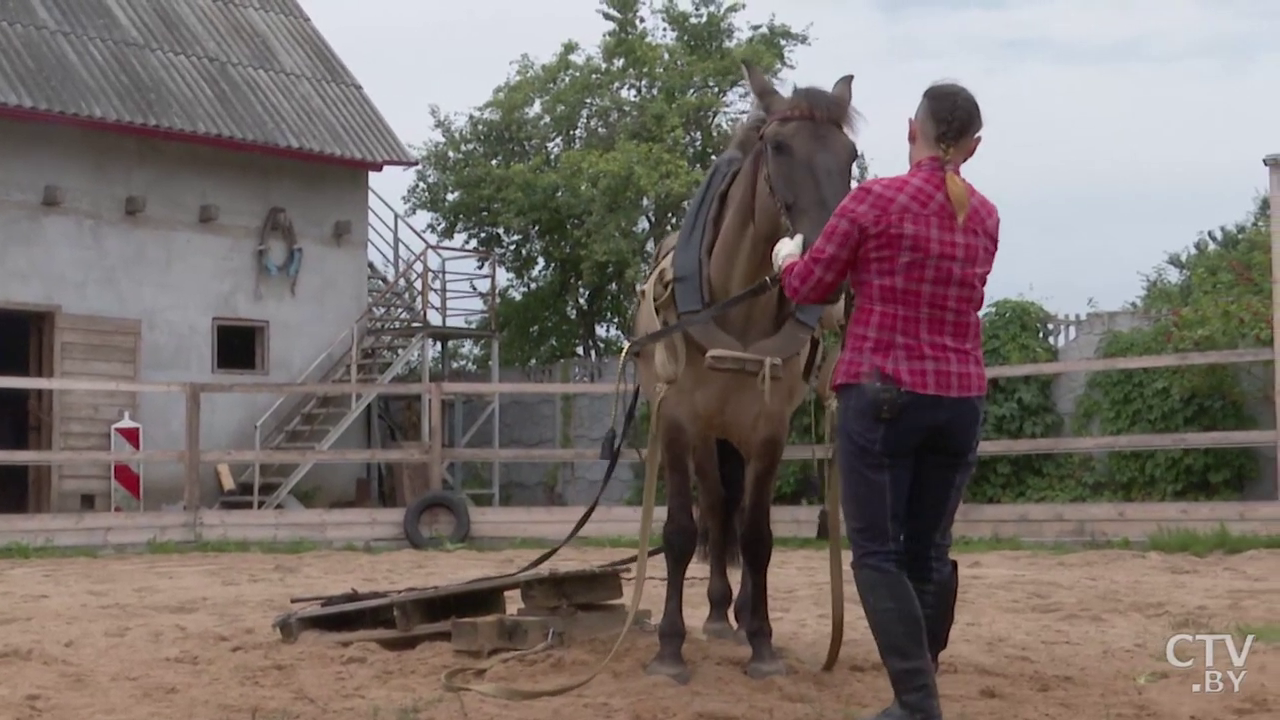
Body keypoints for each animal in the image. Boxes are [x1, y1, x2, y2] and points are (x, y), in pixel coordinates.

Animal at [629, 60, 860, 676]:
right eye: (778, 145)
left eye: (851, 154)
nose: (834, 257)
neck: (739, 312)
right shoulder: (680, 421)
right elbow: (681, 531)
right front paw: (669, 647)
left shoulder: (769, 429)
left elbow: (757, 535)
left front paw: (761, 640)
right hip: (704, 435)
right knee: (713, 508)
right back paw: (712, 615)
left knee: (734, 515)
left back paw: (738, 616)